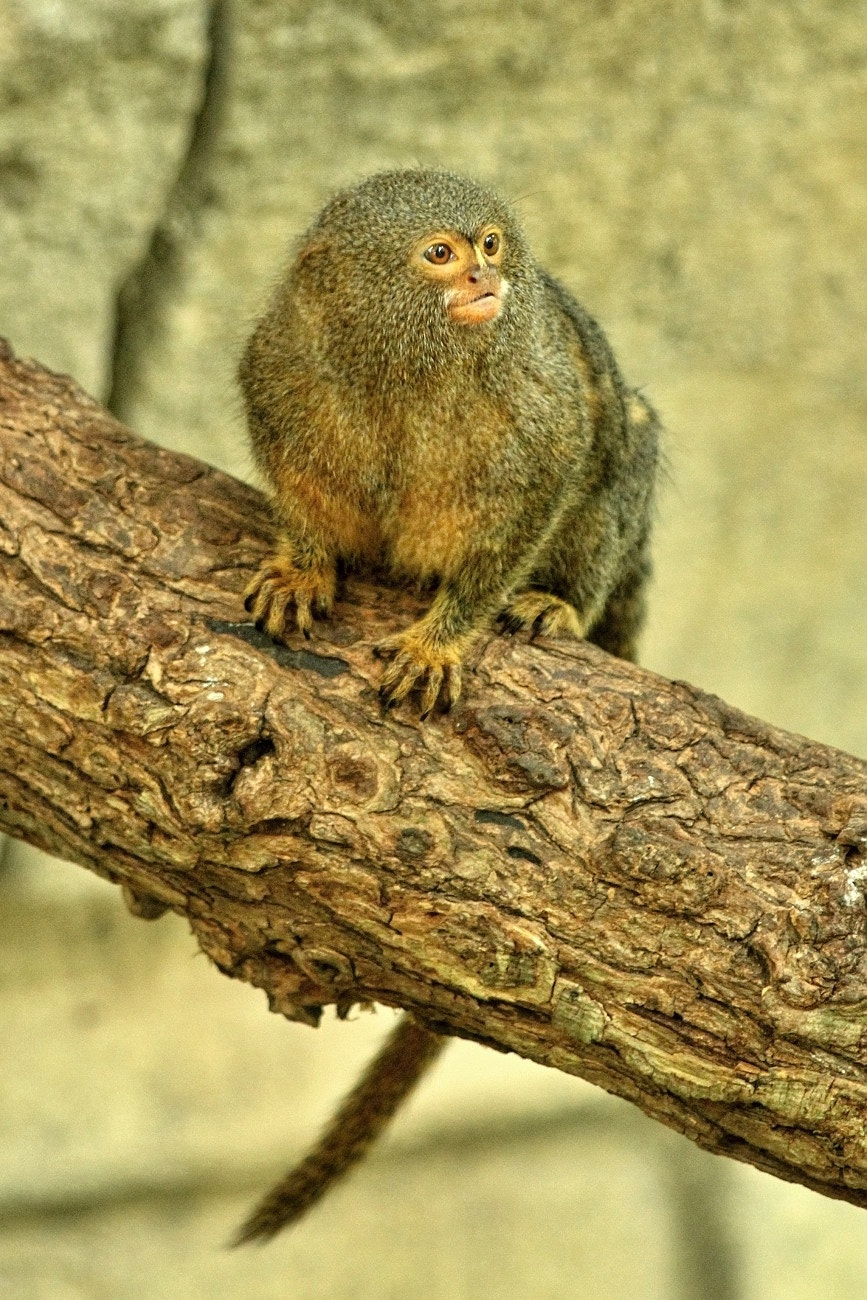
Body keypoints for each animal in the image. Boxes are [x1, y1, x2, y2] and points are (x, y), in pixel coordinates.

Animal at [233, 168, 659, 1242]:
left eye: (491, 244)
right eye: (438, 255)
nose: (483, 282)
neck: (408, 373)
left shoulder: (536, 416)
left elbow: (530, 501)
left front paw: (443, 635)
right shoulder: (282, 375)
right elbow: (302, 493)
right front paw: (303, 564)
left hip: (619, 510)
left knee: (617, 450)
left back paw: (557, 604)